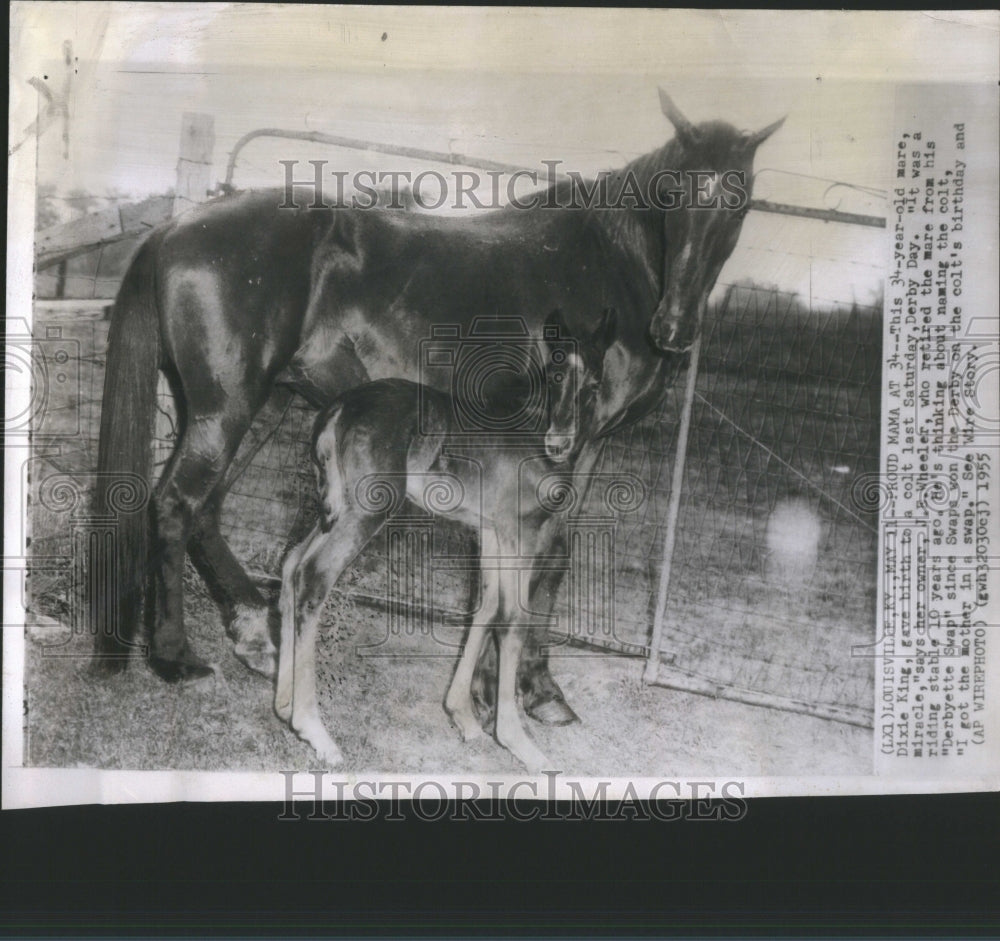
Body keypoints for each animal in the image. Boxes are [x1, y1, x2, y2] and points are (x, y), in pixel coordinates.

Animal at [278, 312, 612, 768]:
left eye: (593, 384)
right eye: (555, 375)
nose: (558, 443)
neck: (530, 429)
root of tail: (337, 409)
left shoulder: (489, 531)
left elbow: (484, 607)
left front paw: (464, 718)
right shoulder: (520, 530)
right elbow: (513, 617)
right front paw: (518, 742)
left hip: (335, 508)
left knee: (291, 563)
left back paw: (283, 704)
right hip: (367, 510)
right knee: (314, 575)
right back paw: (314, 730)